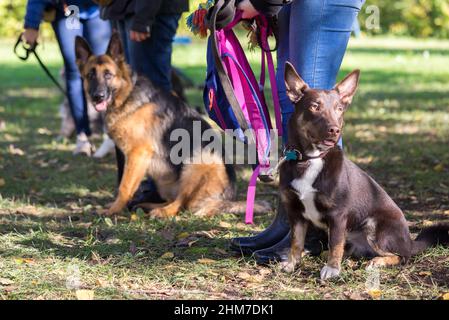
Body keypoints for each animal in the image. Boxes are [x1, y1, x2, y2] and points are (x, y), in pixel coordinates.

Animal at [74, 33, 266, 218]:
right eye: (90, 75)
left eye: (108, 75)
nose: (98, 96)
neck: (127, 95)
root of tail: (225, 199)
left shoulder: (138, 153)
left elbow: (125, 186)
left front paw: (113, 210)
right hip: (165, 180)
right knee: (177, 200)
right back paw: (148, 206)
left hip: (200, 160)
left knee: (181, 203)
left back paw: (161, 212)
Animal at [278, 62, 446, 280]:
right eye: (315, 106)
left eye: (339, 109)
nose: (335, 130)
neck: (311, 159)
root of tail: (410, 240)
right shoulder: (296, 213)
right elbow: (296, 241)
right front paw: (292, 263)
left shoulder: (338, 215)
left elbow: (335, 244)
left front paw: (332, 269)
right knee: (351, 249)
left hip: (374, 226)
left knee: (402, 256)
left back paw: (378, 262)